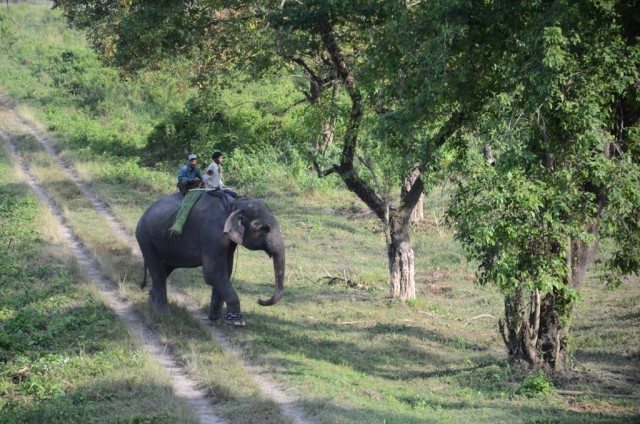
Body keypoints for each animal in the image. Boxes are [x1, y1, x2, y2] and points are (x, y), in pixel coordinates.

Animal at [135, 192, 285, 326]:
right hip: (145, 238)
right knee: (158, 272)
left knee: (165, 270)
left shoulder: (227, 242)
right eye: (265, 228)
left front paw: (215, 319)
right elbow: (213, 273)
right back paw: (164, 315)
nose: (259, 300)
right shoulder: (212, 234)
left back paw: (152, 303)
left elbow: (225, 272)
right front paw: (237, 322)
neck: (235, 204)